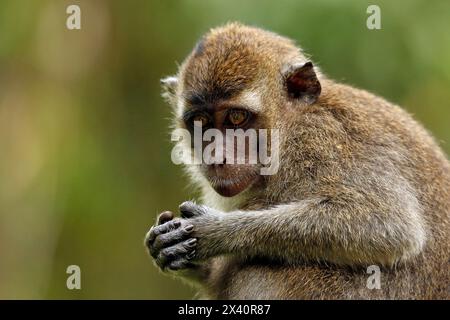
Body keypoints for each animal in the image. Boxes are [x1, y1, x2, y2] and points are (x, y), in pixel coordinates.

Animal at [146, 23, 448, 300]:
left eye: (236, 117)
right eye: (200, 121)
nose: (216, 157)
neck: (289, 128)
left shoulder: (321, 140)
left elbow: (390, 224)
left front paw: (215, 231)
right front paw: (170, 246)